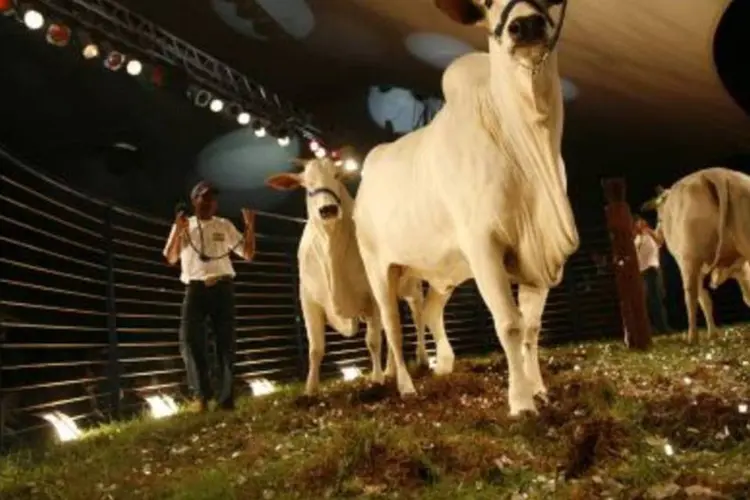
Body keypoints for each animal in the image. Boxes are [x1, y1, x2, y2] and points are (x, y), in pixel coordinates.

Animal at [266, 158, 428, 396]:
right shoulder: (308, 301)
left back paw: (422, 360)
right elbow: (315, 348)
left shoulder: (372, 297)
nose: (328, 209)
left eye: (337, 175)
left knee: (418, 319)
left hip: (412, 287)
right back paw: (391, 371)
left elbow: (373, 341)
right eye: (307, 184)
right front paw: (310, 390)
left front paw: (377, 379)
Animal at [352, 0, 580, 416]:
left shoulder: (540, 257)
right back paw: (405, 386)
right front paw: (521, 402)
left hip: (439, 271)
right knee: (392, 326)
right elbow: (509, 324)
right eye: (488, 5)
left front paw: (539, 388)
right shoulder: (483, 246)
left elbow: (532, 328)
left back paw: (442, 364)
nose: (526, 25)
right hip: (378, 267)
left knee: (429, 311)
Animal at [648, 168, 750, 344]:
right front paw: (713, 333)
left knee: (690, 295)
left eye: (658, 213)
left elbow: (702, 298)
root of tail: (717, 174)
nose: (657, 233)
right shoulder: (741, 267)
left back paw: (692, 337)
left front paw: (711, 333)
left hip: (690, 259)